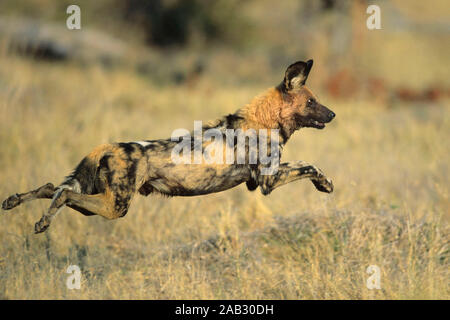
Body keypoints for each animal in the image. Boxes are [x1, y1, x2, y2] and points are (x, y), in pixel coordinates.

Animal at [2, 58, 334, 232]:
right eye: (311, 102)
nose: (332, 114)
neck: (264, 121)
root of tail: (107, 147)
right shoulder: (268, 182)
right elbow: (309, 165)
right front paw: (325, 183)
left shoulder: (264, 179)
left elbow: (307, 164)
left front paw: (325, 184)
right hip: (115, 206)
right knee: (64, 194)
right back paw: (43, 221)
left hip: (96, 194)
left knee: (53, 187)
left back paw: (15, 203)